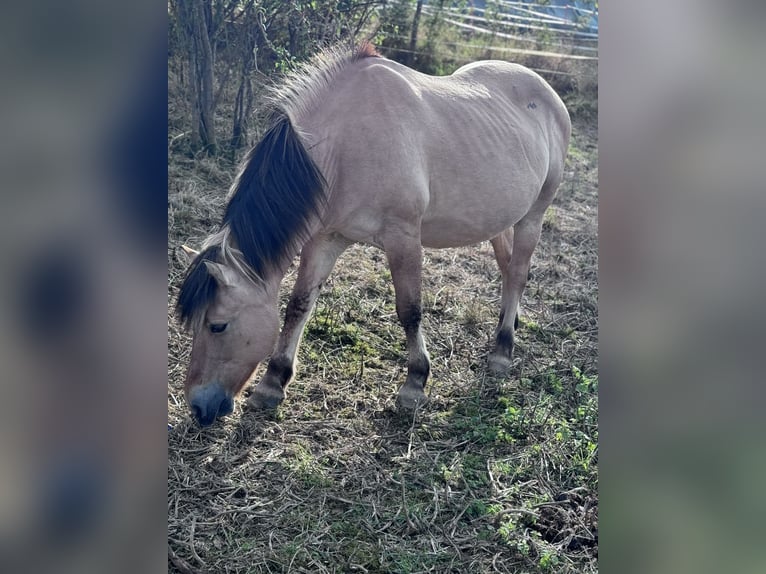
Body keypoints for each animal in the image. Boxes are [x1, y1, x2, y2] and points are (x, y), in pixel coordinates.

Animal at [176, 42, 568, 428]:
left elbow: (410, 310)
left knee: (517, 273)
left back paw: (502, 350)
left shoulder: (403, 238)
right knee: (507, 269)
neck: (345, 145)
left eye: (217, 326)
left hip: (532, 217)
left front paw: (414, 384)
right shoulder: (325, 239)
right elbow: (299, 305)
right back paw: (509, 323)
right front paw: (272, 383)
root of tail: (549, 93)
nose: (198, 406)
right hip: (500, 219)